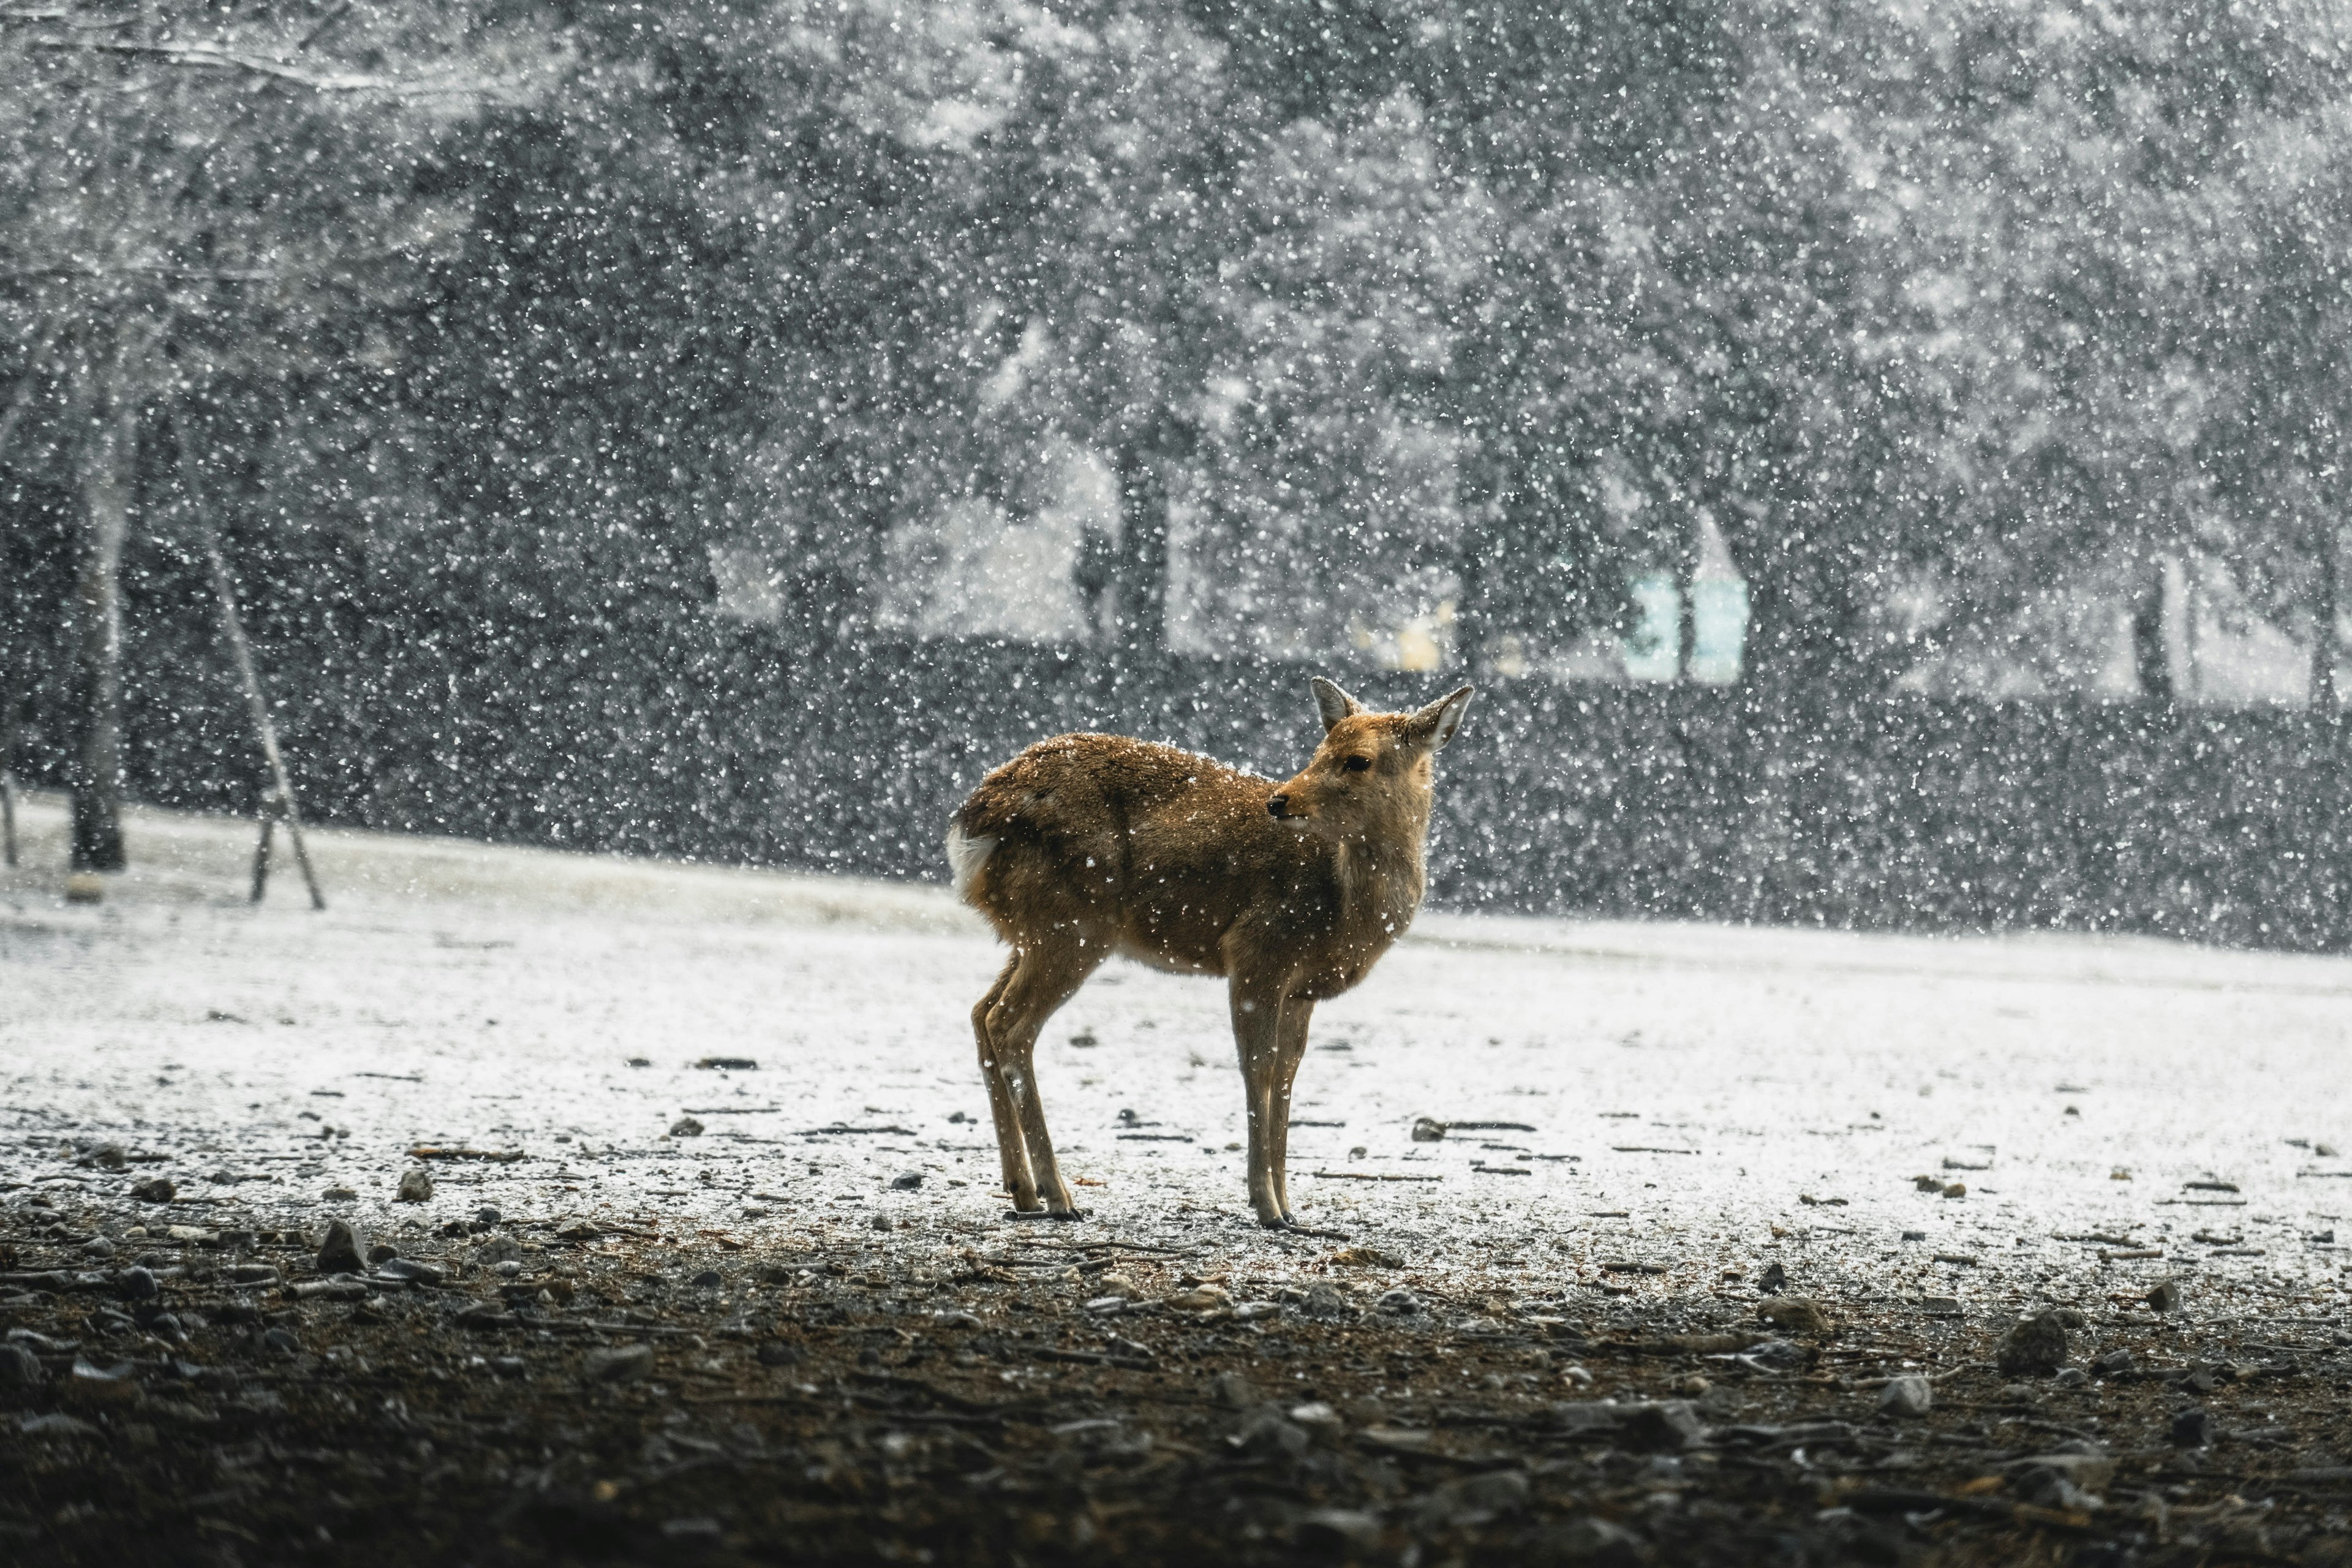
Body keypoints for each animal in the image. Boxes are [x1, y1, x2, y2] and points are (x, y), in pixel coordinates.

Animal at [941, 682, 1468, 1232]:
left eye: (1357, 760)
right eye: (1319, 749)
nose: (1279, 801)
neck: (1345, 906)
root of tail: (975, 822)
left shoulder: (1302, 989)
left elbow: (1288, 1074)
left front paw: (1290, 1207)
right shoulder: (1257, 948)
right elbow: (1258, 1067)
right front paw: (1266, 1207)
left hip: (1033, 930)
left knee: (981, 1011)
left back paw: (1022, 1190)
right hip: (1072, 922)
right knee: (1009, 1022)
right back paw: (1058, 1195)